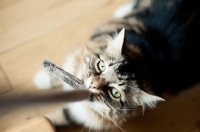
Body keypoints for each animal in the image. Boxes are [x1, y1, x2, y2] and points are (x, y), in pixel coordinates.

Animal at [33, 0, 200, 130]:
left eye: (115, 93)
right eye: (101, 66)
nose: (92, 84)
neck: (145, 60)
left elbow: (57, 117)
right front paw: (42, 79)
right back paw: (122, 10)